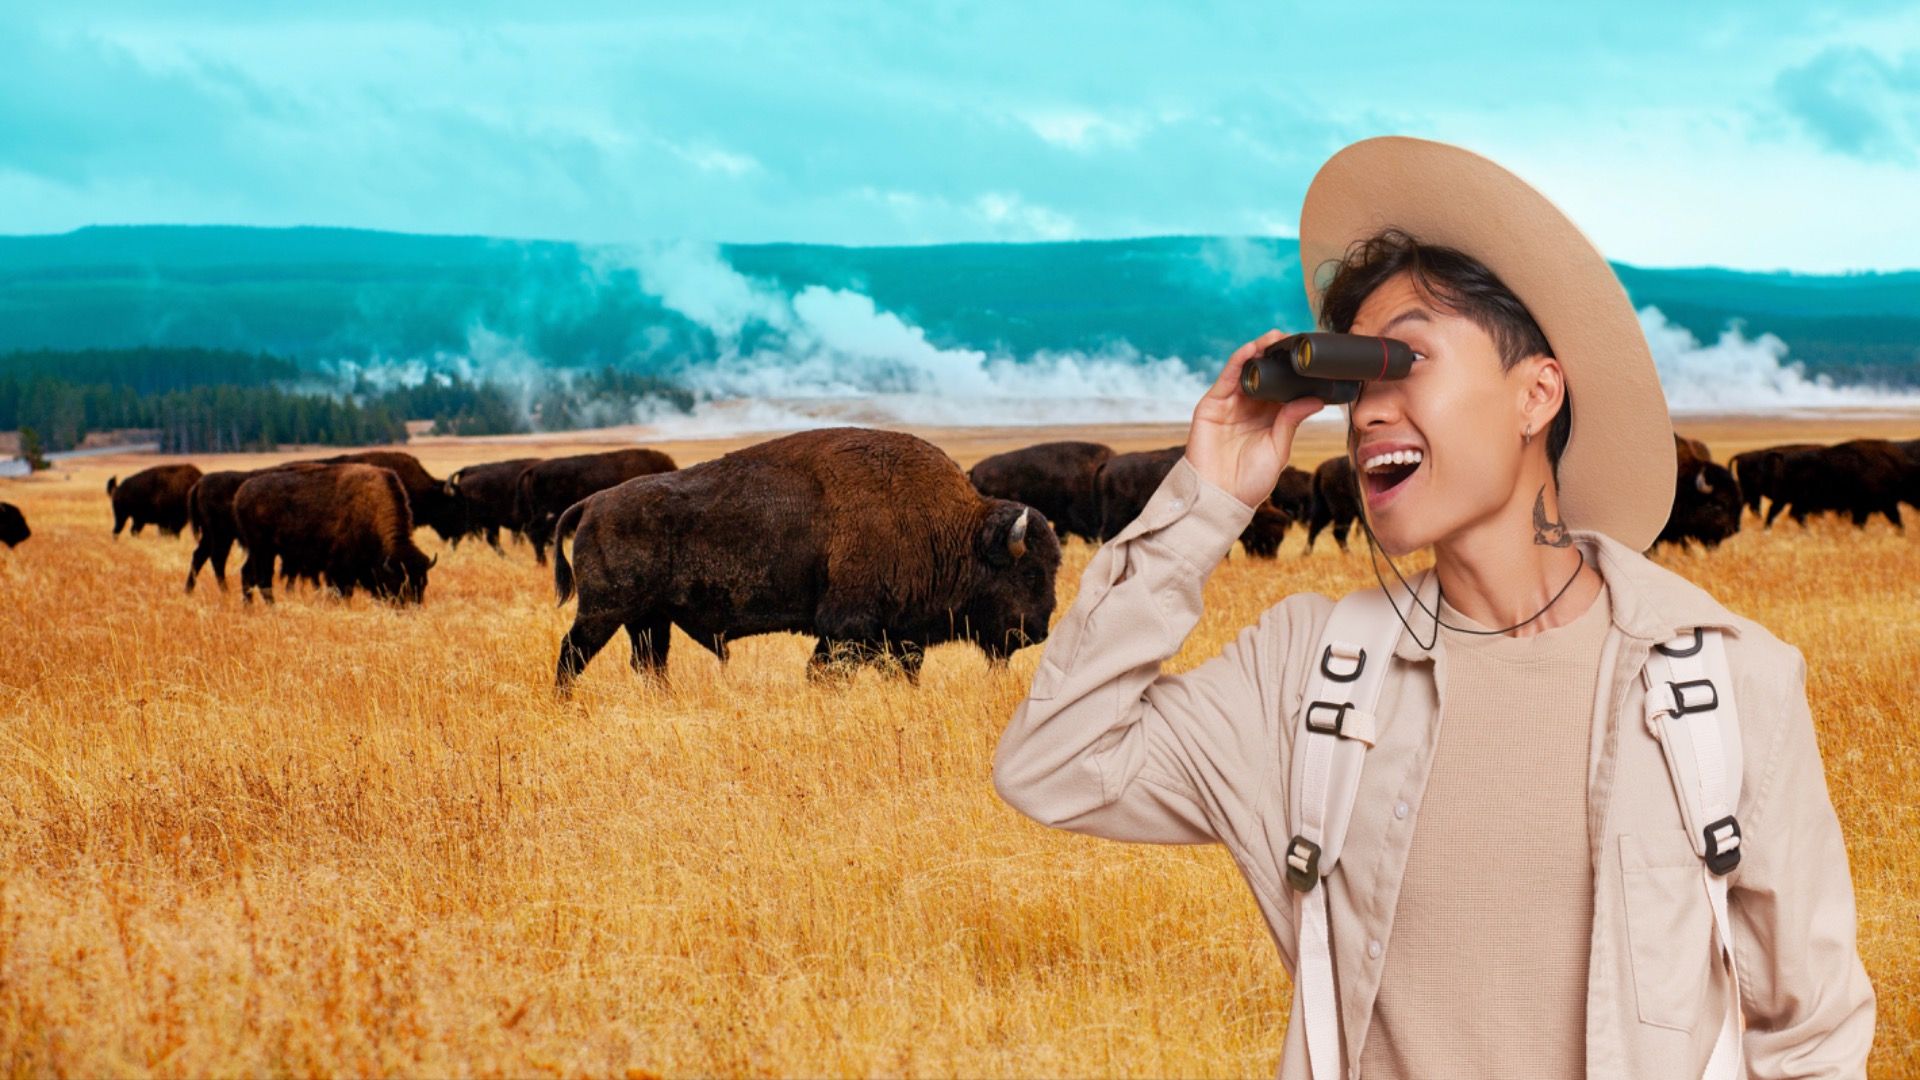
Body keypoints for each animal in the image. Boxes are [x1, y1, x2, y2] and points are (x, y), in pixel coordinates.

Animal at [230, 461, 433, 599]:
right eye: (399, 583)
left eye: (423, 584)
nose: (410, 610)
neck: (371, 508)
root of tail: (241, 493)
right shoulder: (339, 570)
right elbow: (341, 592)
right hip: (264, 551)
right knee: (263, 580)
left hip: (258, 551)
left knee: (247, 574)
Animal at [552, 426, 1067, 687]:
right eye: (1028, 572)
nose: (1038, 631)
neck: (952, 528)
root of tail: (592, 503)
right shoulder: (846, 628)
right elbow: (825, 672)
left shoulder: (899, 636)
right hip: (604, 612)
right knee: (571, 654)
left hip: (648, 619)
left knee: (649, 663)